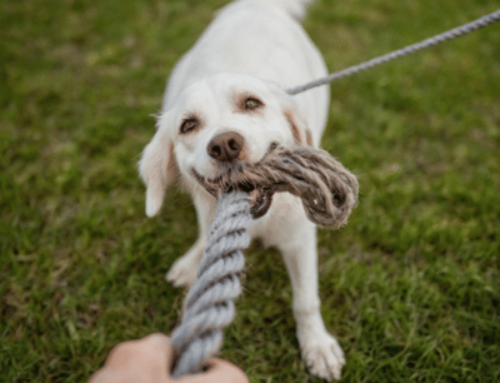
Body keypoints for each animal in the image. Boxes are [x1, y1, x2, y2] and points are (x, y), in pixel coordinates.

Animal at [139, 0, 346, 380]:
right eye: (188, 125)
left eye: (252, 103)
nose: (225, 145)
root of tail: (258, 5)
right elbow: (207, 238)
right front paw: (193, 264)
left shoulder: (300, 239)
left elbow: (305, 301)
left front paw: (317, 345)